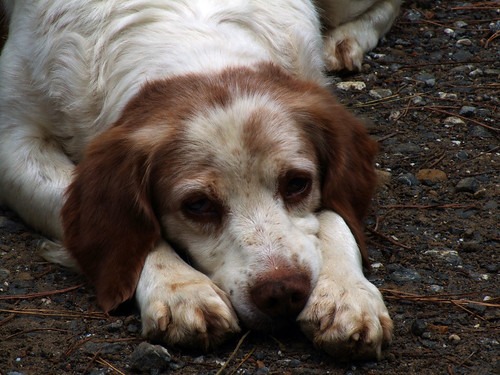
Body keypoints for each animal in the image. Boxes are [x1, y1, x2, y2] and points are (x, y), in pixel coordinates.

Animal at [0, 0, 400, 360]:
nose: (284, 292)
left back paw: (345, 40)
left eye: (297, 183)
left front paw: (348, 293)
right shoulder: (15, 143)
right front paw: (182, 289)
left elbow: (335, 216)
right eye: (197, 205)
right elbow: (134, 233)